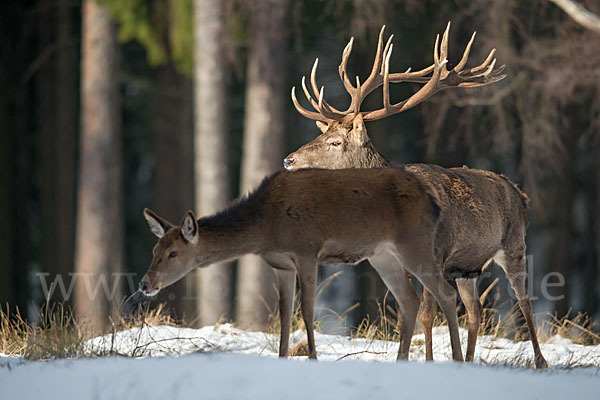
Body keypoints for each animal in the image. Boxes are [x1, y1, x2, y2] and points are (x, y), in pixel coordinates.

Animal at [138, 167, 466, 360]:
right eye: (154, 248)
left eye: (173, 254)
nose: (145, 284)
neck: (266, 229)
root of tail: (432, 198)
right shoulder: (280, 264)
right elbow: (284, 315)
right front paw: (283, 357)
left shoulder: (307, 250)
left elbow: (307, 311)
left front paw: (312, 357)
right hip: (381, 254)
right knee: (409, 300)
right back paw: (401, 360)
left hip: (415, 243)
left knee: (446, 293)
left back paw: (460, 359)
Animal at [284, 22, 548, 368]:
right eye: (322, 133)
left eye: (335, 142)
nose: (289, 160)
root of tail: (518, 191)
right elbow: (411, 314)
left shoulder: (433, 254)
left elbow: (426, 314)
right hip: (467, 267)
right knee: (475, 311)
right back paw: (469, 360)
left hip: (515, 244)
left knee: (524, 300)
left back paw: (541, 361)